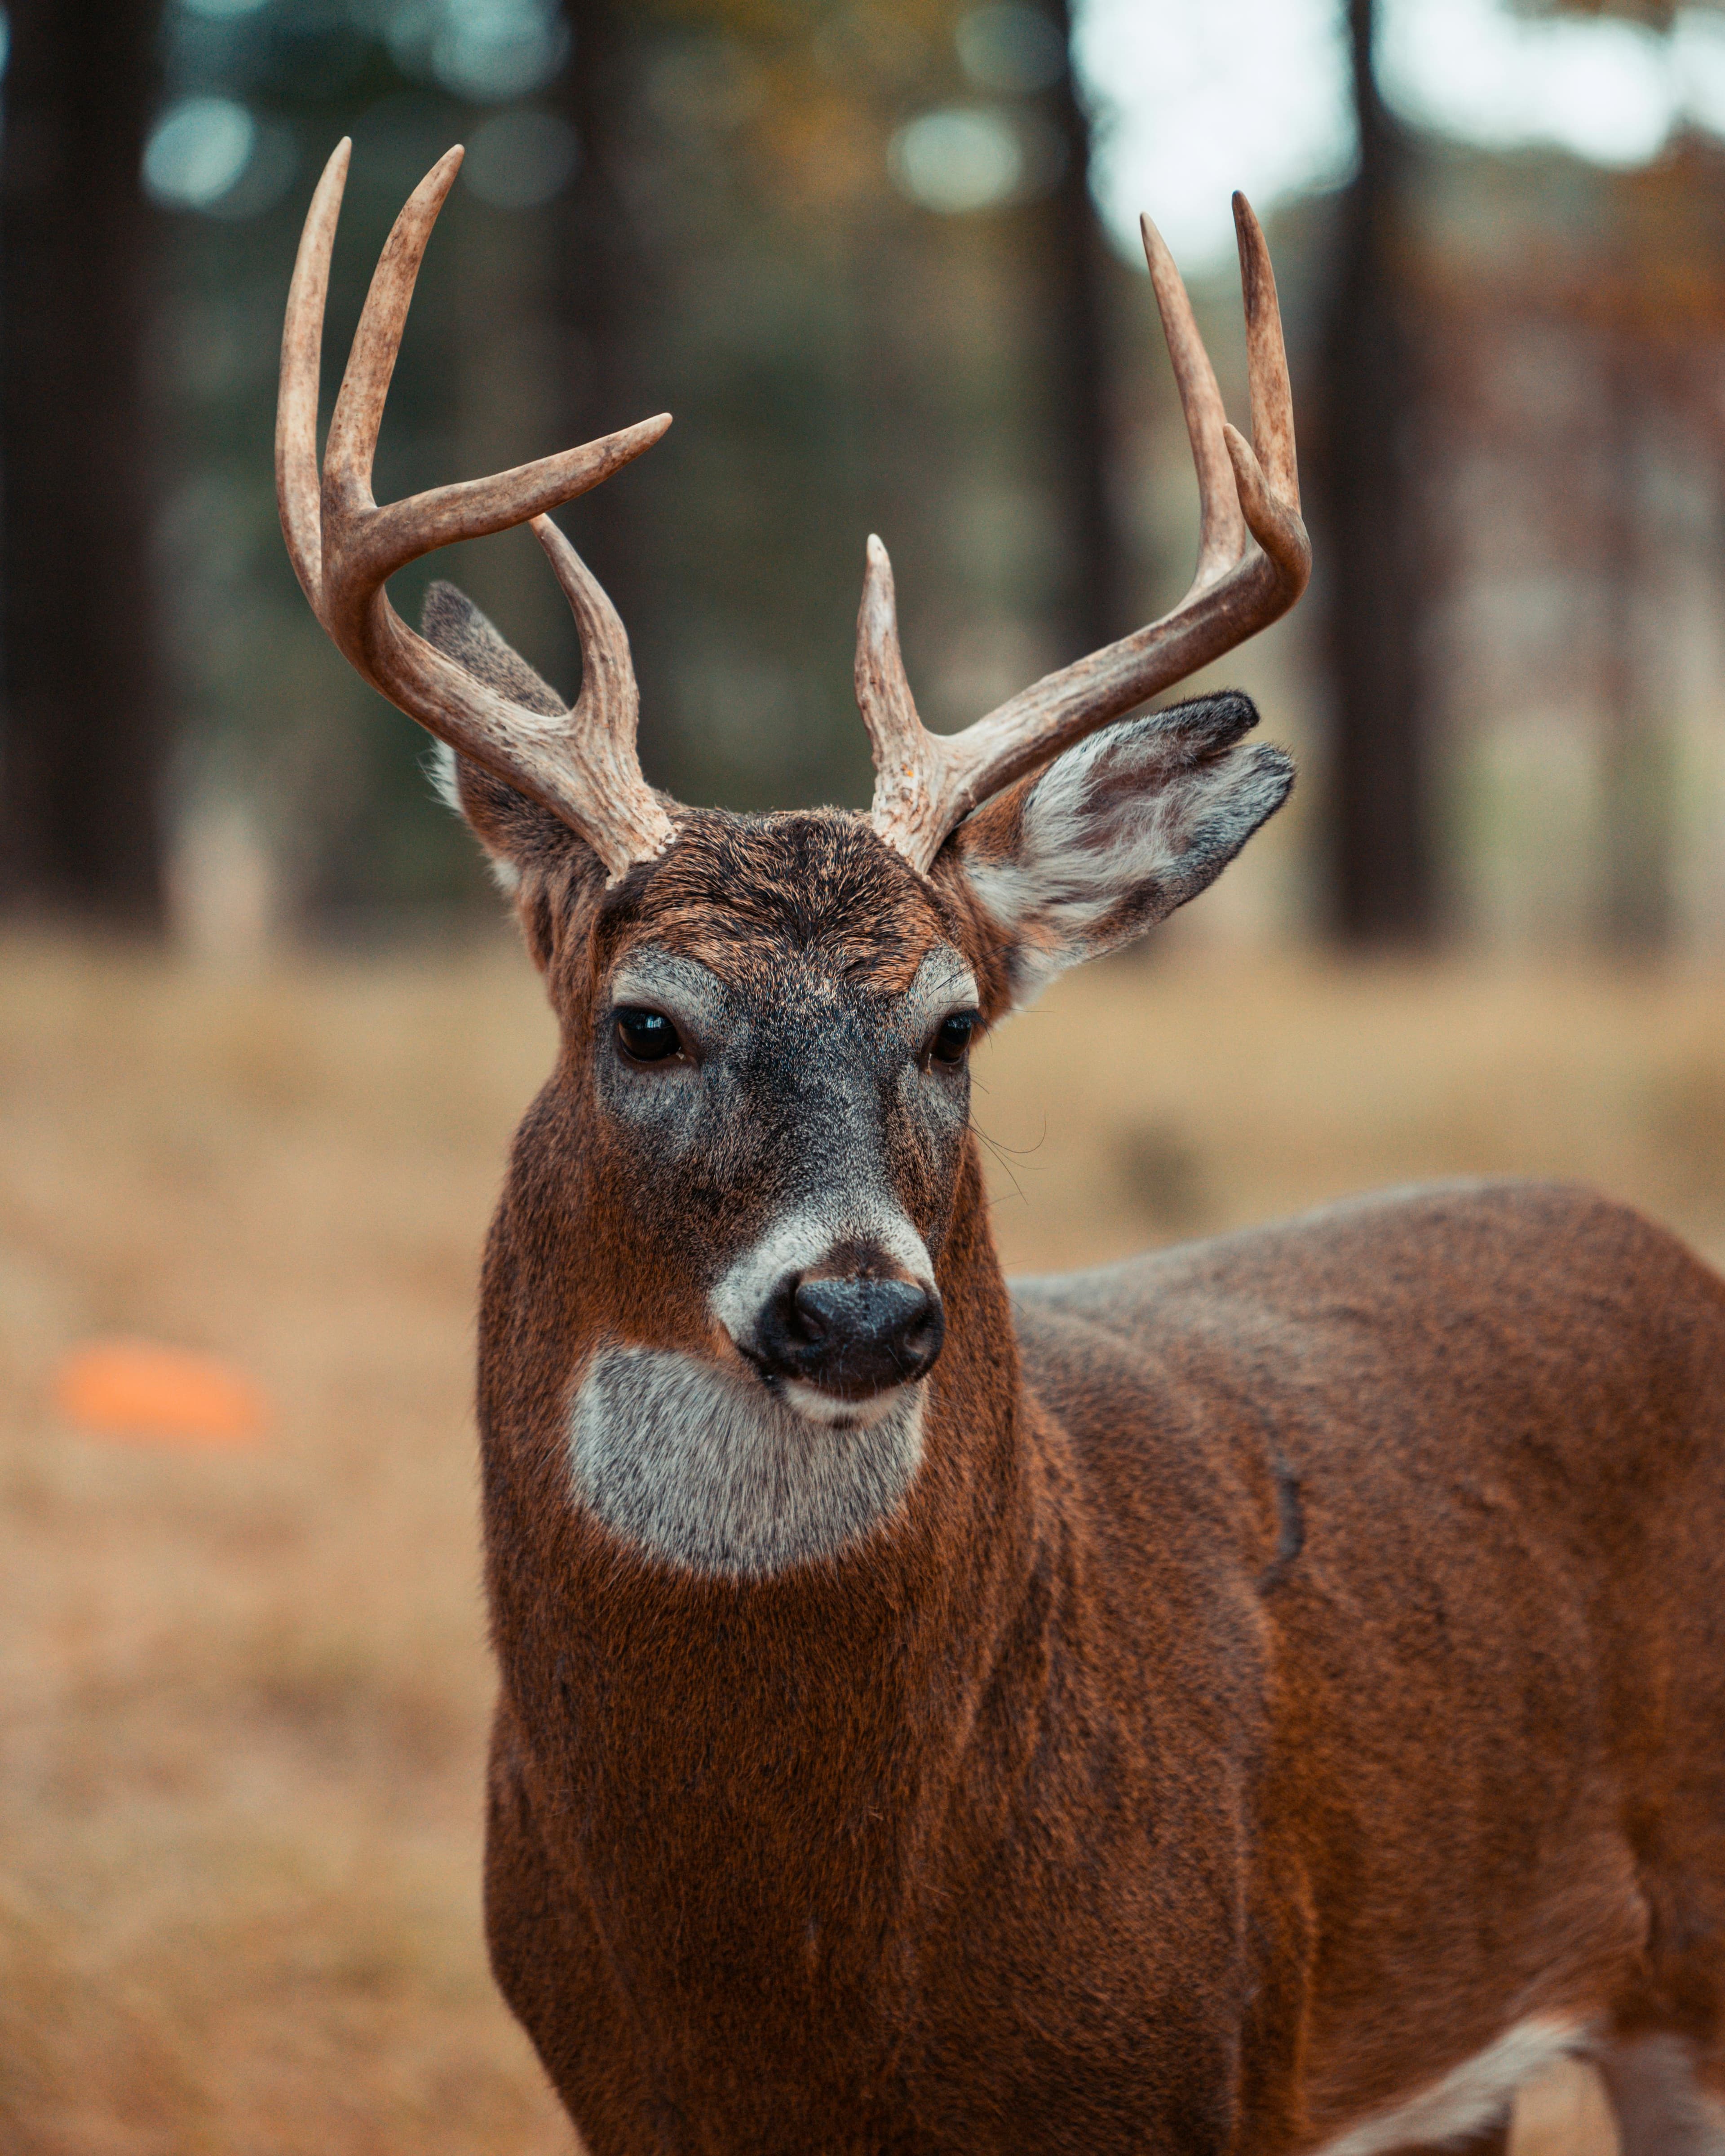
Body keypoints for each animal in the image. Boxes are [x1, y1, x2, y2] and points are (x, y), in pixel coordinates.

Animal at [277, 137, 1725, 2156]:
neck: (801, 1984)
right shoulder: (615, 2094)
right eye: (644, 1022)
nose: (857, 1316)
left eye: (953, 1027)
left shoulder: (1211, 2071)